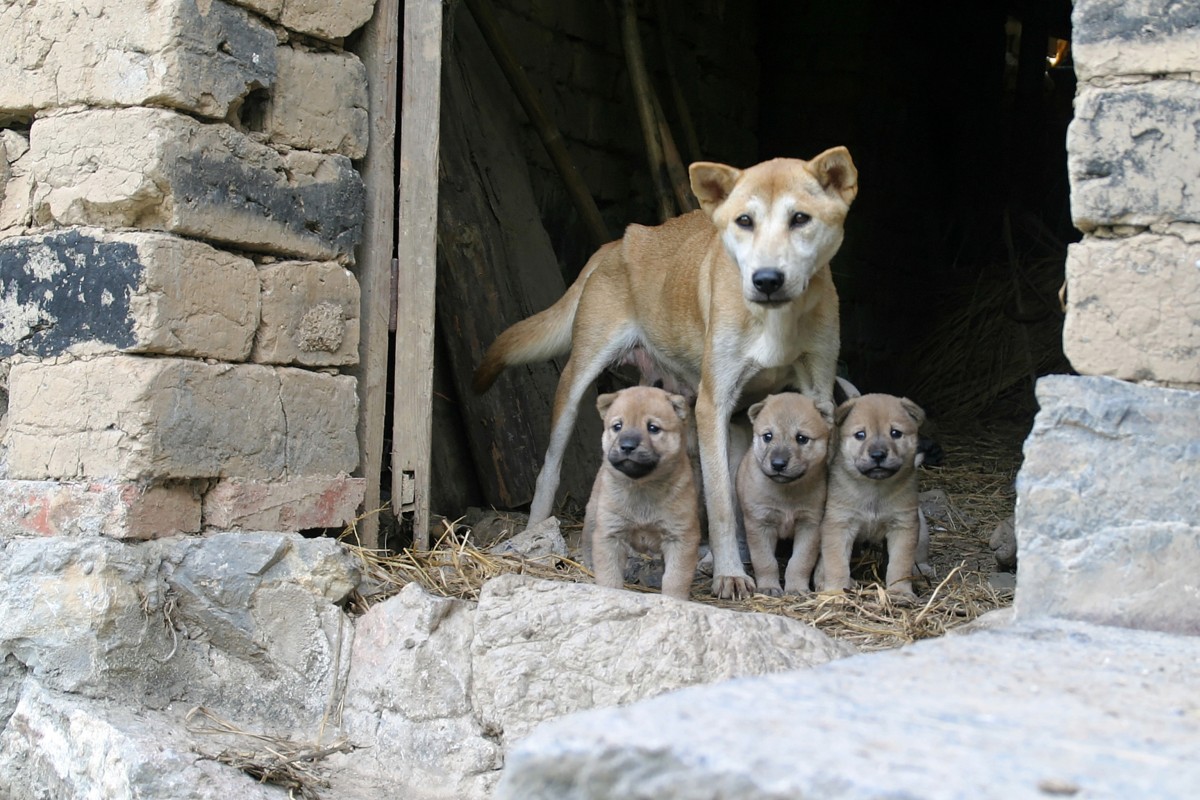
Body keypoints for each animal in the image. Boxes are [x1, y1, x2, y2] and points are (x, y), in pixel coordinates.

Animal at [583, 386, 700, 599]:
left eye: (653, 428)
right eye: (617, 426)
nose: (627, 445)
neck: (642, 486)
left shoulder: (680, 536)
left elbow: (675, 579)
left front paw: (674, 600)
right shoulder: (610, 535)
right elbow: (609, 574)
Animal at [734, 391, 830, 597]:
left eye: (801, 438)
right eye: (768, 436)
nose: (778, 464)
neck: (787, 492)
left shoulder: (810, 524)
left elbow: (800, 561)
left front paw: (796, 588)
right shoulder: (759, 523)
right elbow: (765, 561)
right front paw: (769, 587)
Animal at [816, 393, 926, 599]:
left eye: (895, 433)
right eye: (860, 435)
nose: (878, 454)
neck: (874, 490)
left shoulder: (903, 526)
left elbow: (900, 564)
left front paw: (900, 591)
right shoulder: (839, 524)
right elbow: (836, 564)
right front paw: (836, 592)